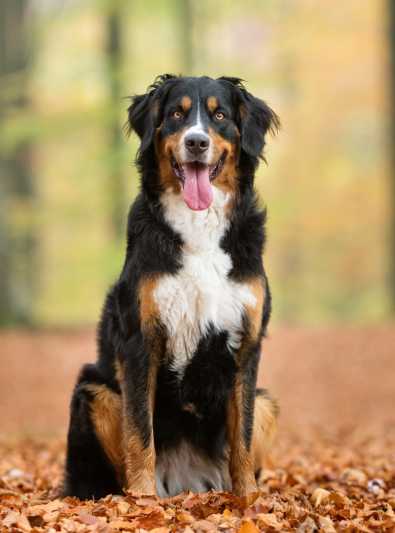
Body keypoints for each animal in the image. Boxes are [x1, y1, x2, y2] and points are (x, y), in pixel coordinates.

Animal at [63, 74, 280, 498]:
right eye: (177, 114)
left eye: (219, 115)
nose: (196, 142)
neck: (199, 228)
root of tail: (186, 482)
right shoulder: (140, 338)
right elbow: (139, 432)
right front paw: (142, 499)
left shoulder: (248, 344)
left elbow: (242, 439)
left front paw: (248, 499)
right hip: (94, 390)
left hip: (268, 403)